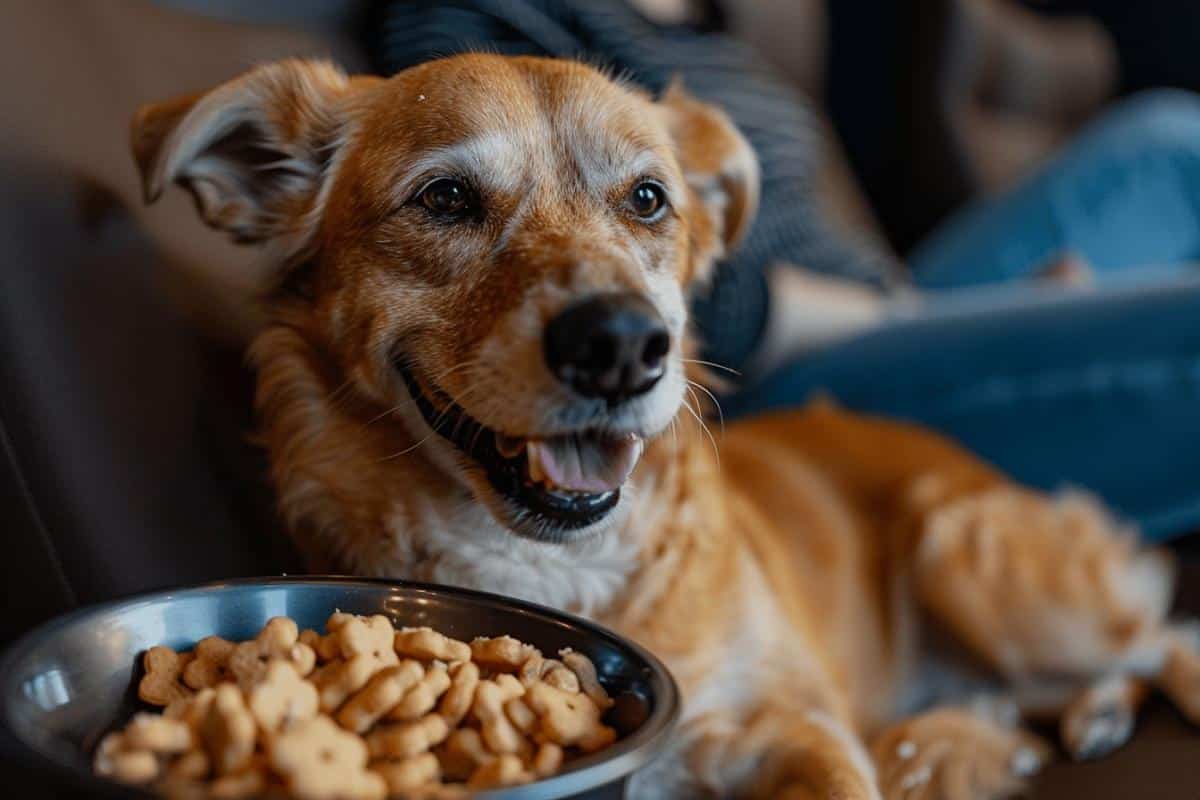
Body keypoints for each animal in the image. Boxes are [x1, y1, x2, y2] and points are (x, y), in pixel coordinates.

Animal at [131, 54, 1200, 796]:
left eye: (648, 199)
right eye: (445, 198)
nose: (620, 344)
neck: (562, 567)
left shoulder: (802, 727)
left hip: (969, 559)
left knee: (1159, 634)